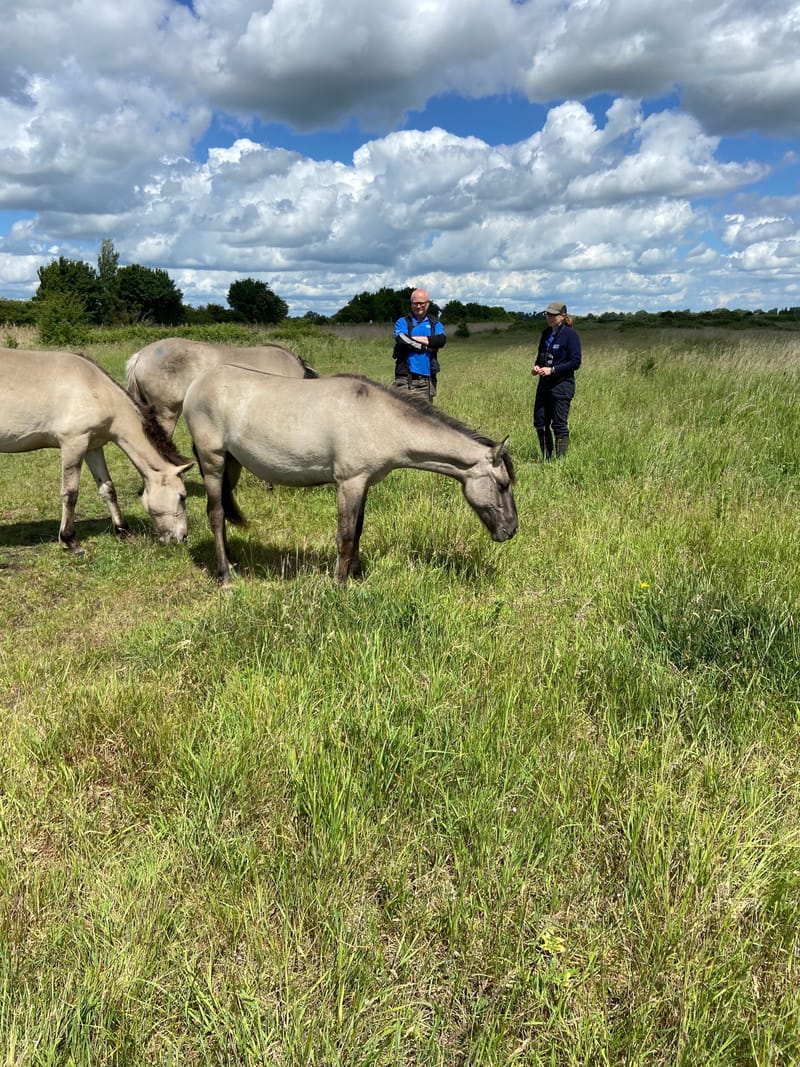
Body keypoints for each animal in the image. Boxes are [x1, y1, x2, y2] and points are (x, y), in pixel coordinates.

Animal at [0, 347, 194, 554]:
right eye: (182, 496)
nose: (182, 538)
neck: (94, 388)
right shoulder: (73, 444)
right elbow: (70, 493)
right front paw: (70, 541)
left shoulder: (93, 447)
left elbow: (108, 489)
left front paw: (124, 531)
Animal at [183, 364, 520, 584]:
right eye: (502, 484)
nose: (512, 530)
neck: (379, 419)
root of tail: (197, 384)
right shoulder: (349, 483)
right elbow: (345, 535)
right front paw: (339, 583)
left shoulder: (364, 484)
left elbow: (357, 531)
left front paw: (357, 578)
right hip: (213, 461)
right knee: (215, 514)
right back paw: (225, 575)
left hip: (231, 464)